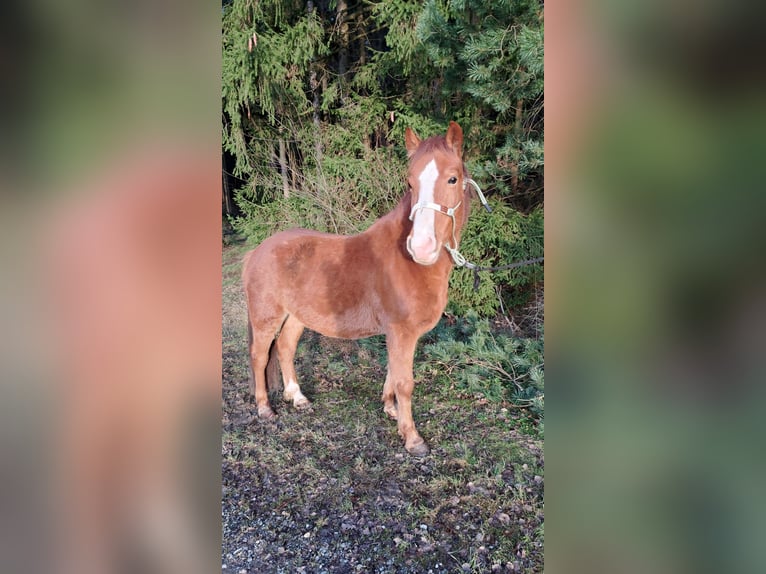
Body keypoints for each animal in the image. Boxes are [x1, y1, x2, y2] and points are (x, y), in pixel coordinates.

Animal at [244, 121, 474, 460]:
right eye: (409, 183)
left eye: (452, 178)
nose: (421, 247)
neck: (406, 262)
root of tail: (258, 250)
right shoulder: (401, 331)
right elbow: (405, 381)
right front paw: (412, 438)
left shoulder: (400, 333)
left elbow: (393, 371)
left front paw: (391, 410)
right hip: (266, 317)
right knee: (260, 356)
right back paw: (264, 408)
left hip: (297, 316)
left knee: (285, 349)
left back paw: (298, 397)